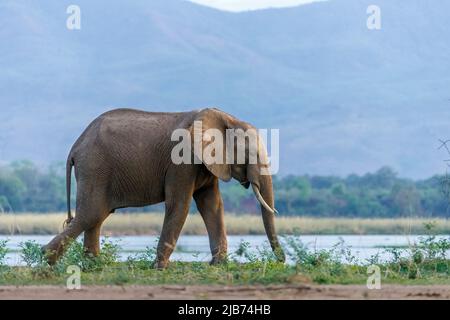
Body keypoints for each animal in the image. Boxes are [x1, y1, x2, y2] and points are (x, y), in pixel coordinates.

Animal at [44, 107, 286, 268]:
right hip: (95, 167)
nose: (282, 261)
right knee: (91, 213)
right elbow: (180, 204)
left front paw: (218, 265)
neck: (226, 118)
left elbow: (212, 205)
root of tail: (75, 147)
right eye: (251, 154)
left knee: (97, 216)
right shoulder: (182, 161)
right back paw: (47, 259)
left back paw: (93, 266)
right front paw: (158, 268)